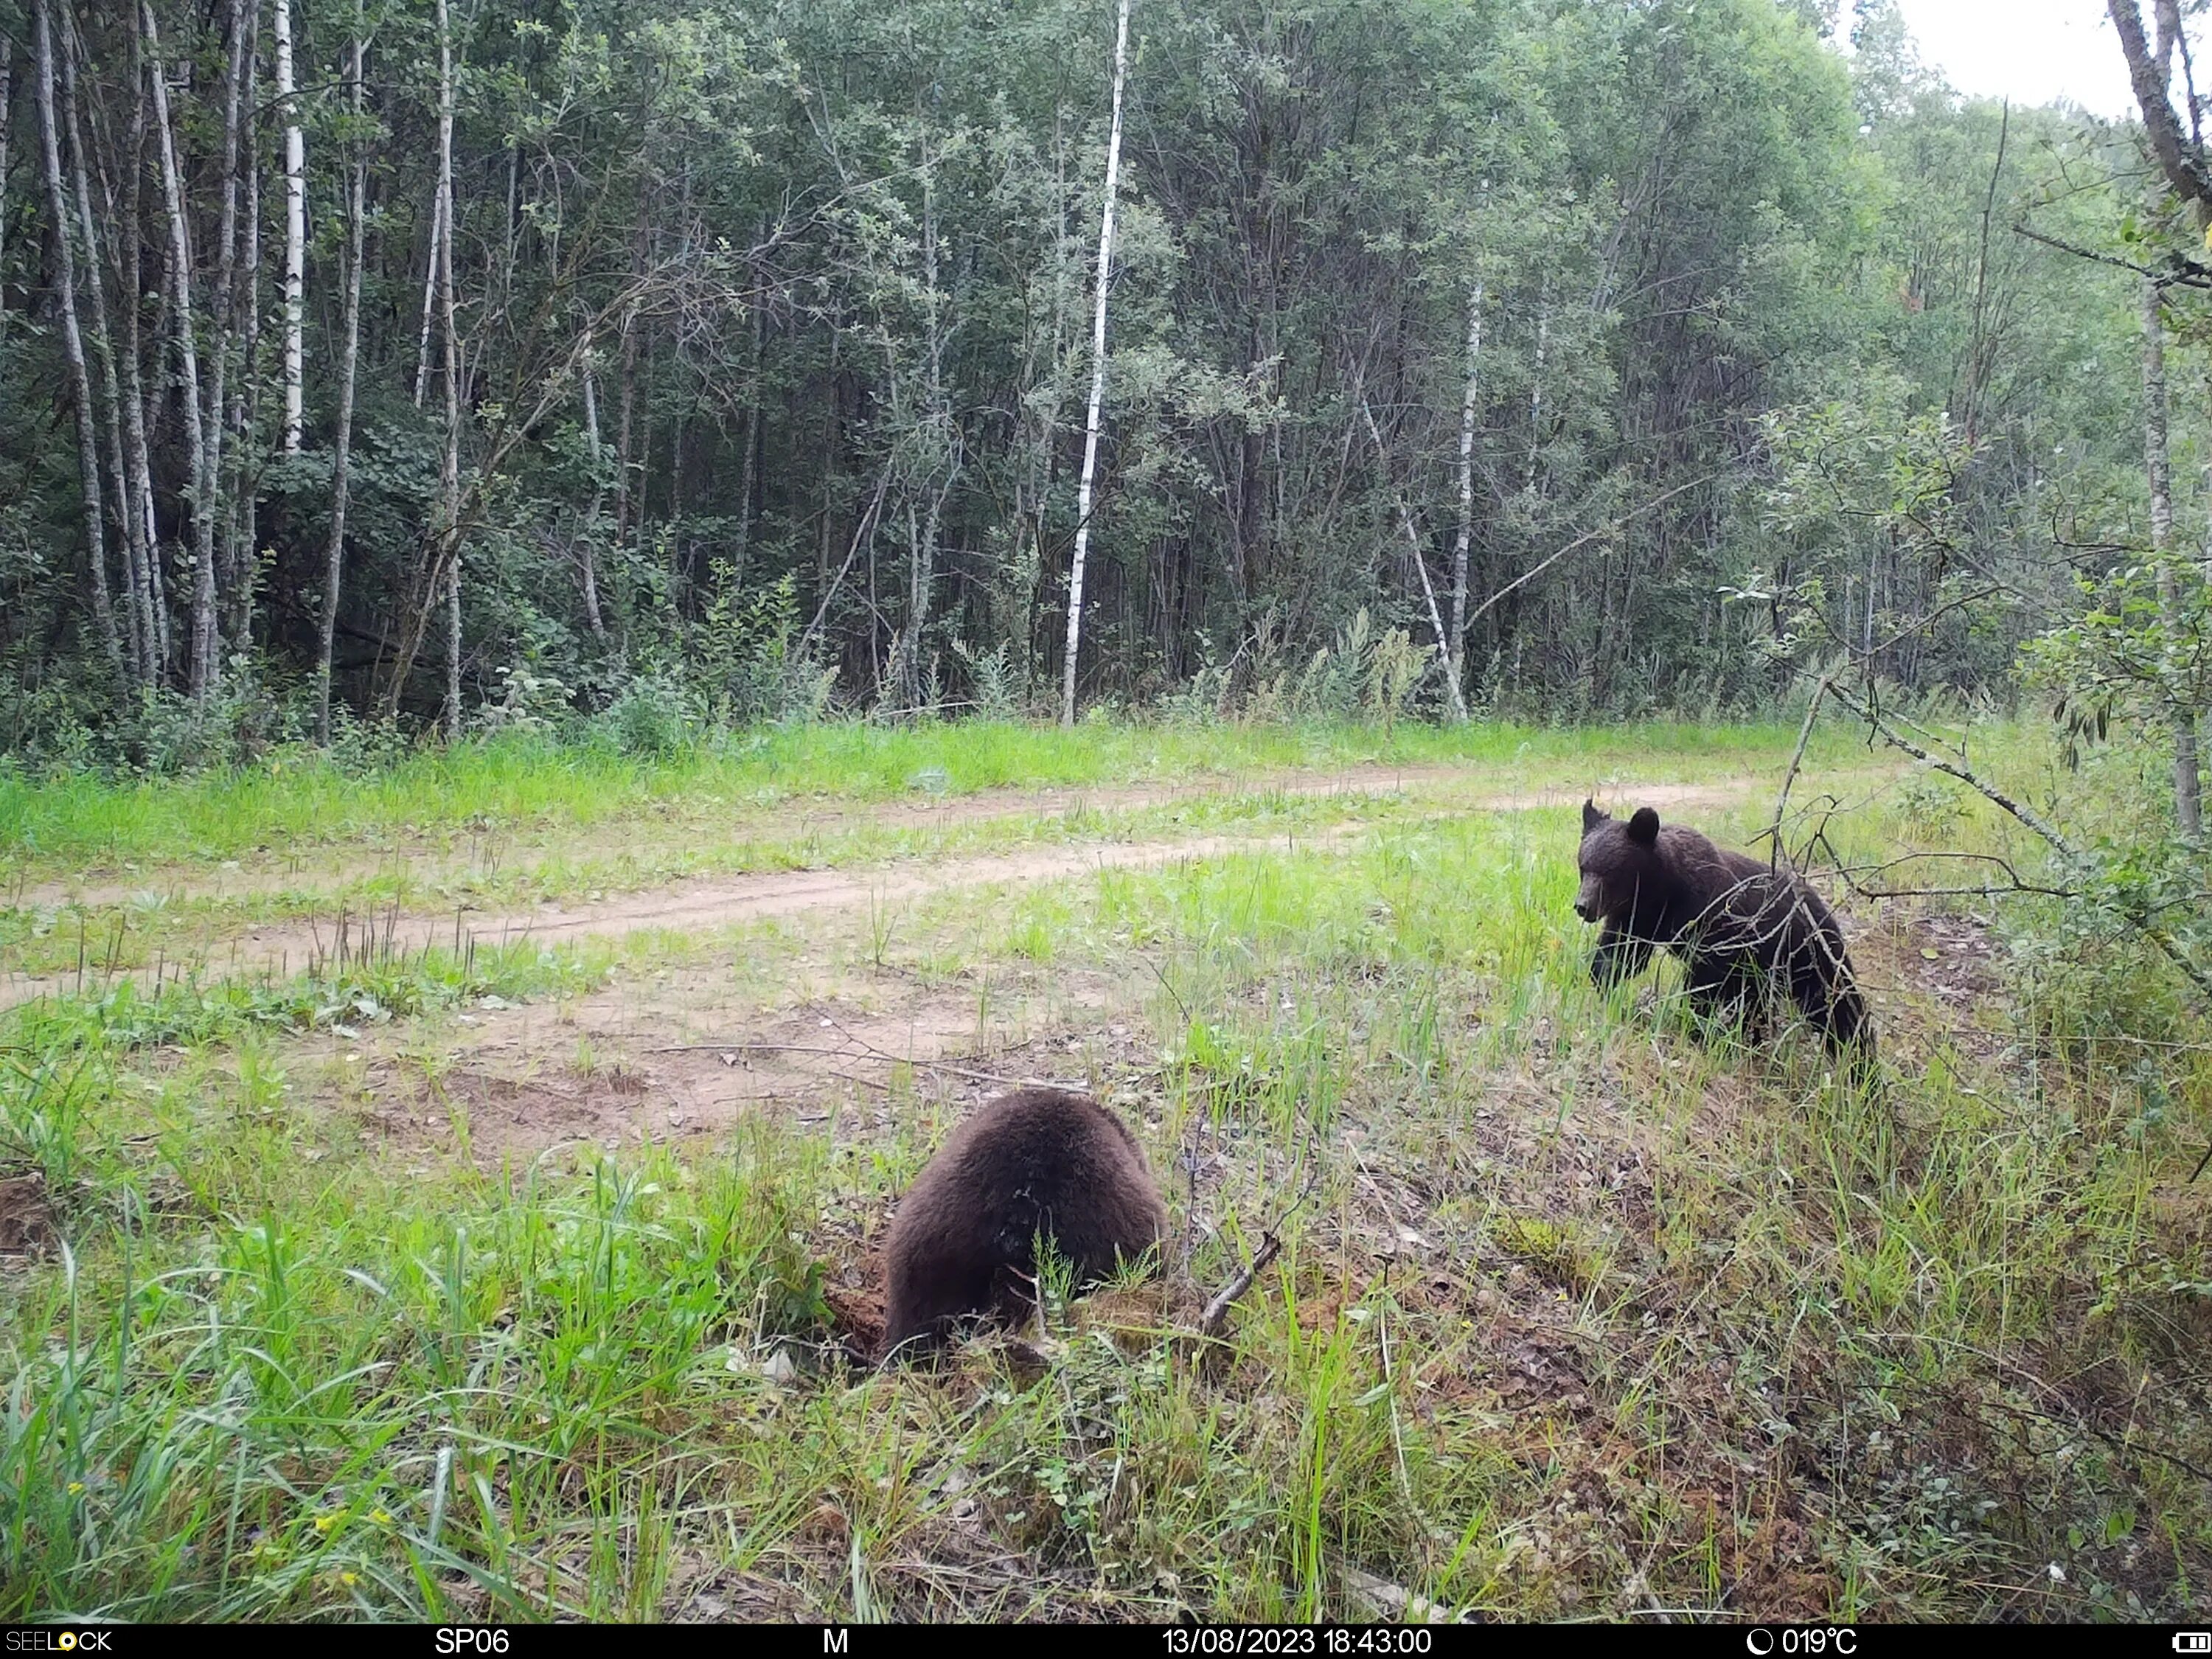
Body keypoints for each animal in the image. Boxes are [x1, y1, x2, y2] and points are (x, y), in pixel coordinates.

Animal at [1566, 801, 1876, 1053]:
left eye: (1610, 871)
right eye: (1583, 866)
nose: (1583, 906)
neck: (1664, 893)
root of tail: (1824, 910)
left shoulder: (1713, 924)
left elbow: (1706, 981)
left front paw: (1694, 1022)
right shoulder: (1639, 919)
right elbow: (1622, 953)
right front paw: (1605, 982)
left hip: (1809, 955)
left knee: (1838, 1007)